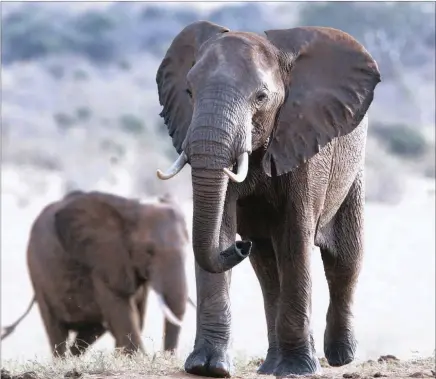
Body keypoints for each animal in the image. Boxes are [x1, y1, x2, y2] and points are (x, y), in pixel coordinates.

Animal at [1, 191, 196, 358]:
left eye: (187, 247)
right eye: (149, 251)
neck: (132, 208)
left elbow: (135, 316)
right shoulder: (104, 264)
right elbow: (122, 312)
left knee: (89, 333)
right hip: (38, 274)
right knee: (56, 330)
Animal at [155, 21, 380, 379]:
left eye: (261, 97)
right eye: (189, 93)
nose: (239, 246)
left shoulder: (304, 141)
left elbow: (295, 236)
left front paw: (298, 369)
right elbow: (221, 227)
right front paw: (206, 368)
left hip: (353, 169)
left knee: (344, 259)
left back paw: (339, 357)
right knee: (267, 267)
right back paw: (271, 365)